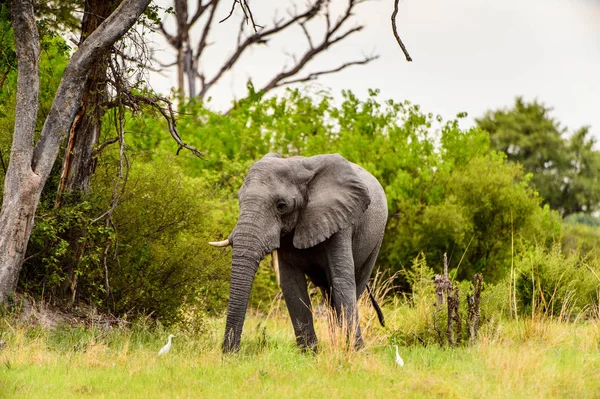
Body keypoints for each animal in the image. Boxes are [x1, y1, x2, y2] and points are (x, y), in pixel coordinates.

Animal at [211, 153, 390, 354]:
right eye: (240, 200)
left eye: (281, 205)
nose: (230, 353)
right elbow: (292, 284)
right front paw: (309, 353)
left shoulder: (340, 220)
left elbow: (342, 282)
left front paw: (355, 351)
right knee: (328, 294)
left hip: (376, 239)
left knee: (352, 285)